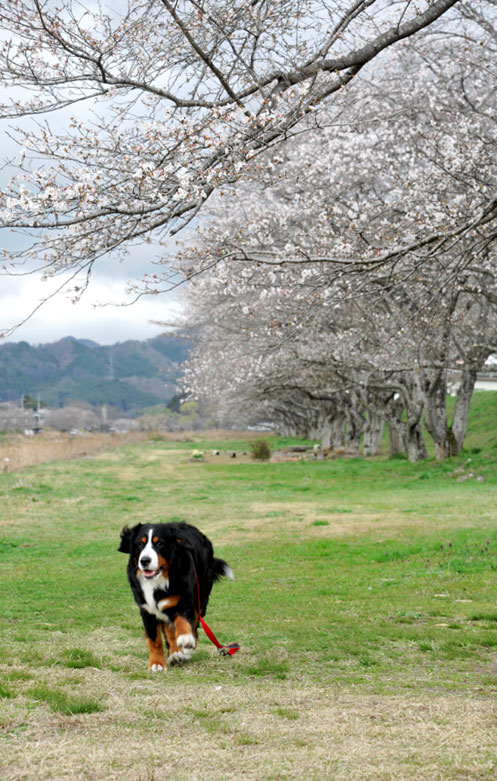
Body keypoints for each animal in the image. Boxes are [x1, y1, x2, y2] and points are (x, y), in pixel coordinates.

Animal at [118, 520, 232, 668]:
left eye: (159, 544)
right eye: (140, 544)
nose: (144, 561)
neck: (158, 581)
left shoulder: (184, 599)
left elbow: (182, 620)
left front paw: (185, 639)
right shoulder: (147, 609)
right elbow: (155, 639)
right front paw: (156, 663)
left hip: (200, 597)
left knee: (194, 623)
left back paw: (185, 649)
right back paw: (176, 654)